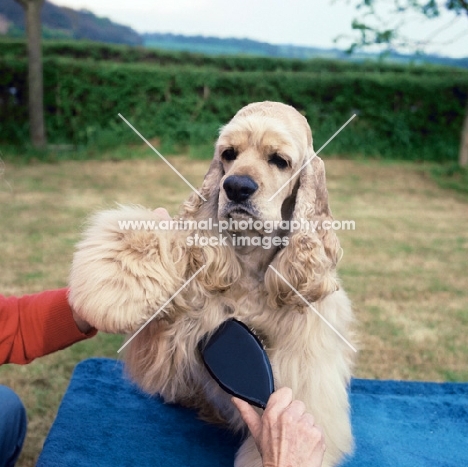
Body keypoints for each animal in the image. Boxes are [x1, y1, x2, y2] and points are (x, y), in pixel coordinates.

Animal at [68, 102, 354, 467]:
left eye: (279, 159)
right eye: (228, 154)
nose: (236, 187)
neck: (251, 259)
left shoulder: (303, 366)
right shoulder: (180, 324)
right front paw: (111, 289)